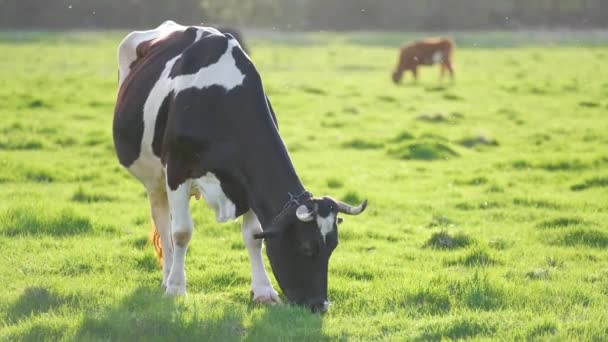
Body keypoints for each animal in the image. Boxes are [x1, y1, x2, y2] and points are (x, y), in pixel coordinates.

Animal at [112, 20, 368, 312]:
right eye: (306, 247)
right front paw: (176, 290)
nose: (321, 305)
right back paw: (167, 277)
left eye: (333, 247)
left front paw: (264, 291)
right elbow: (182, 233)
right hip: (153, 176)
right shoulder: (177, 171)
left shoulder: (249, 185)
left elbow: (254, 236)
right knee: (163, 223)